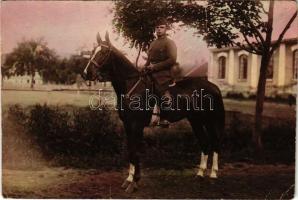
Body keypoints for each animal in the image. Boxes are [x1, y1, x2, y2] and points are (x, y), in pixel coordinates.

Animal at [82, 32, 225, 193]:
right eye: (93, 51)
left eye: (104, 52)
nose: (86, 74)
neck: (132, 86)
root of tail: (213, 86)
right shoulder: (128, 126)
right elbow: (130, 150)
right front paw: (129, 179)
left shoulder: (136, 126)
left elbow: (135, 151)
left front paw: (134, 182)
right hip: (195, 121)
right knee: (205, 143)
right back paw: (200, 174)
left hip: (209, 120)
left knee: (215, 142)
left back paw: (213, 175)